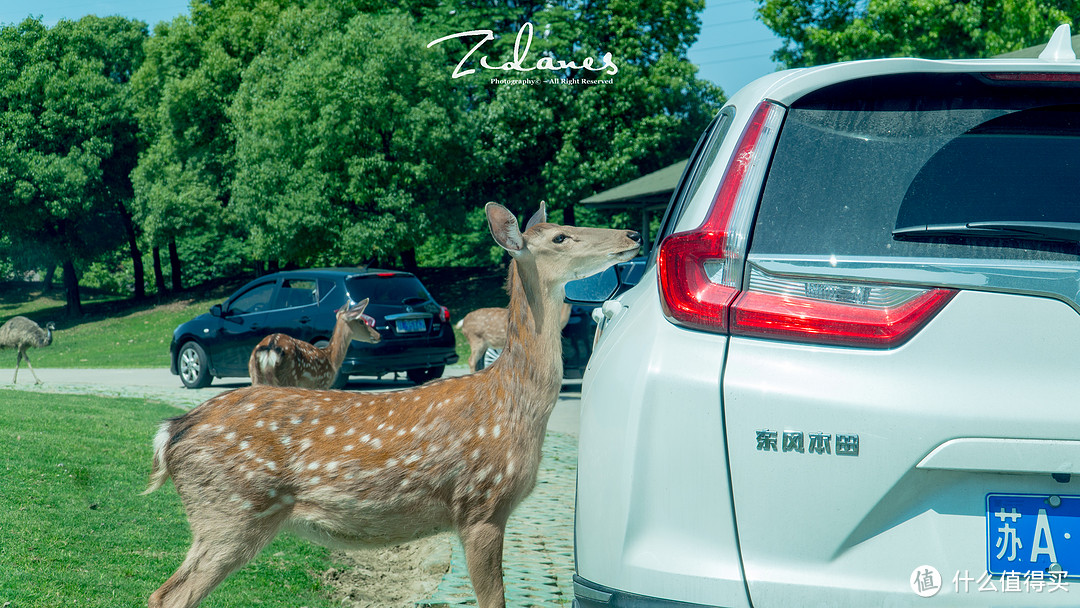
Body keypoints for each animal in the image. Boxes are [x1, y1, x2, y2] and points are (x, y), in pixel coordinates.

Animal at [143, 203, 639, 608]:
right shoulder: (480, 504)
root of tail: (171, 433)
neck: (514, 402)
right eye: (560, 237)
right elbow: (493, 600)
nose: (632, 234)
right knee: (167, 595)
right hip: (231, 512)